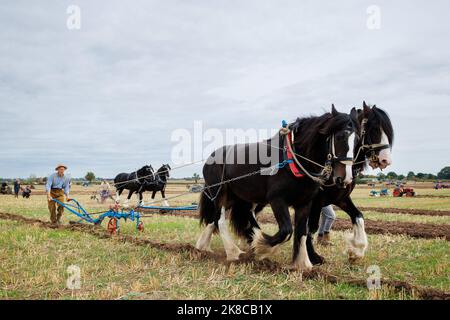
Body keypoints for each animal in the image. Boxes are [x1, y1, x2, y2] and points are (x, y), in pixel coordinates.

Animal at [195, 105, 356, 270]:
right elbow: (286, 230)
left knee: (219, 220)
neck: (292, 159)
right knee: (220, 220)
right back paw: (234, 253)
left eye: (357, 139)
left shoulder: (305, 203)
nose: (346, 178)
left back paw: (202, 247)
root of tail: (210, 158)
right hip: (220, 193)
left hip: (237, 198)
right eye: (340, 137)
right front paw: (260, 246)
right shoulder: (277, 199)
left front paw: (304, 266)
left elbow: (301, 232)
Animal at [229, 102, 394, 264]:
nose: (385, 160)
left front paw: (357, 251)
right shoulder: (316, 201)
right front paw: (313, 256)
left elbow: (358, 216)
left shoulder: (340, 198)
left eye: (356, 139)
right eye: (374, 129)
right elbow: (311, 228)